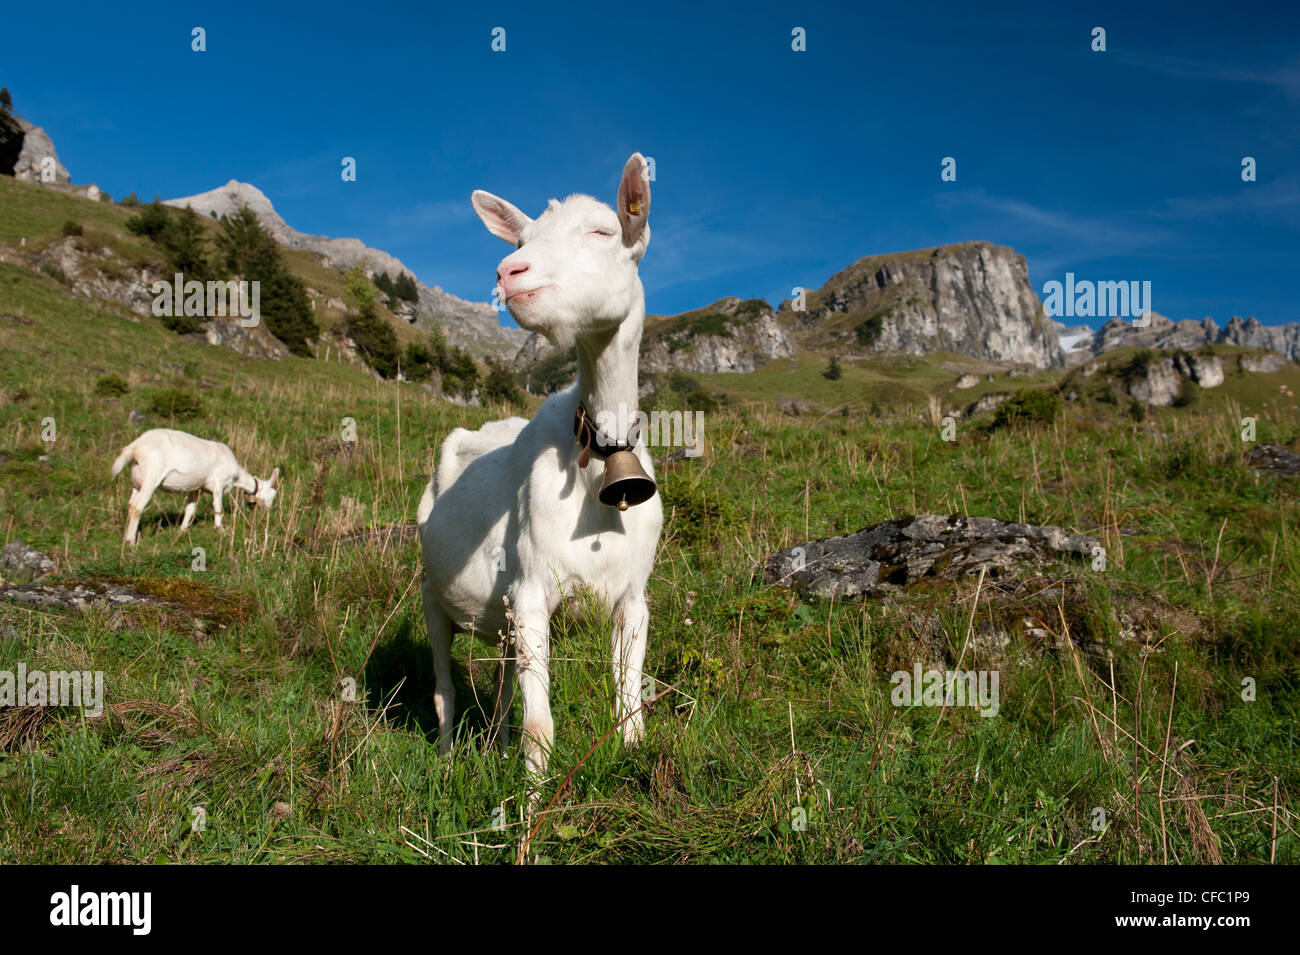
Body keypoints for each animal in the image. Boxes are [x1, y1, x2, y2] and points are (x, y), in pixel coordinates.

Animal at [109, 428, 279, 540]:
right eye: (273, 494)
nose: (268, 512)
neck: (237, 475)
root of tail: (134, 447)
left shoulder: (196, 488)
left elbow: (190, 509)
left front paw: (182, 530)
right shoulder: (218, 483)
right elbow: (219, 508)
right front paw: (221, 530)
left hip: (137, 480)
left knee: (131, 505)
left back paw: (126, 537)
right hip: (151, 476)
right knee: (137, 508)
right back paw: (130, 542)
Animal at [418, 149, 665, 779]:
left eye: (603, 231)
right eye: (523, 238)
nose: (511, 272)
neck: (598, 457)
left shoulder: (633, 599)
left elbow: (629, 704)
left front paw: (637, 762)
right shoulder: (531, 590)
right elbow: (540, 726)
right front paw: (531, 797)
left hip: (500, 620)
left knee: (504, 687)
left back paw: (494, 746)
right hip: (432, 593)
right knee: (444, 687)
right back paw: (448, 758)